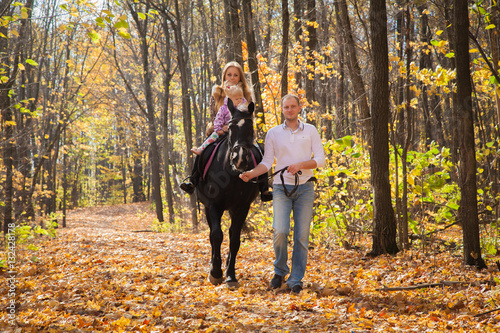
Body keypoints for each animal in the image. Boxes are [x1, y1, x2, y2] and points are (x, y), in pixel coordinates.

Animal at [196, 99, 262, 288]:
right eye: (231, 127)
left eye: (250, 127)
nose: (239, 158)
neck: (232, 173)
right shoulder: (213, 205)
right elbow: (216, 235)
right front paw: (216, 273)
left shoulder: (242, 206)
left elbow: (234, 239)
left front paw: (230, 275)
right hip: (207, 207)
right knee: (213, 234)